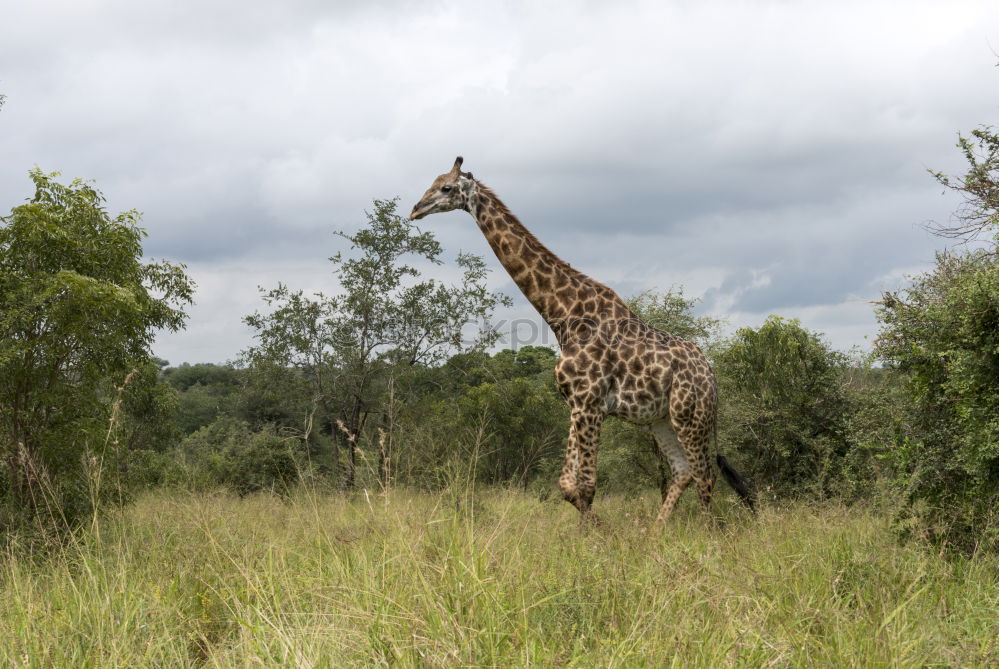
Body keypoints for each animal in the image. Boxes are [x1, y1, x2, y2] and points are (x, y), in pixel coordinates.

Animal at [406, 157, 752, 520]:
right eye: (433, 182)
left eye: (446, 187)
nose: (415, 209)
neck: (564, 316)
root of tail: (711, 376)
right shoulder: (576, 404)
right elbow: (567, 486)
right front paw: (599, 530)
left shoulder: (590, 403)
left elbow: (586, 486)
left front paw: (596, 534)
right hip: (661, 420)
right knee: (683, 471)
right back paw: (657, 530)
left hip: (690, 416)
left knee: (705, 474)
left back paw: (706, 530)